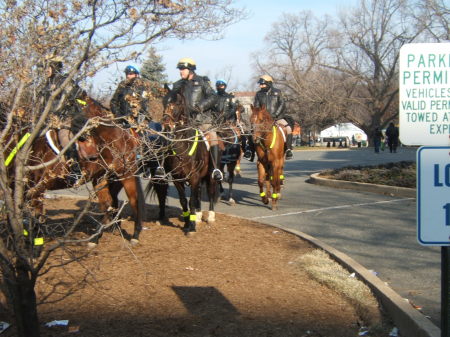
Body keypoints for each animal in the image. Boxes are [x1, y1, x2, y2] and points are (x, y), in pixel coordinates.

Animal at [7, 96, 144, 245]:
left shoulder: (38, 189)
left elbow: (36, 217)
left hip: (127, 175)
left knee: (134, 201)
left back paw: (135, 234)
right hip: (102, 179)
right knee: (108, 204)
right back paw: (97, 236)